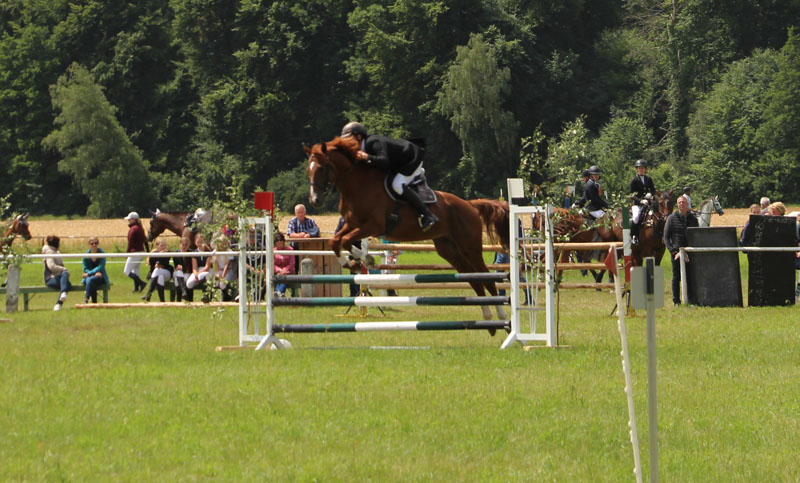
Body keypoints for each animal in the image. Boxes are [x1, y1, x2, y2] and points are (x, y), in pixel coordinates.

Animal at [304, 136, 511, 330]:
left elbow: (346, 240)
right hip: (449, 250)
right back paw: (488, 317)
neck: (358, 185)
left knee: (486, 277)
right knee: (474, 279)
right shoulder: (352, 224)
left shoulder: (374, 226)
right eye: (309, 169)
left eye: (321, 168)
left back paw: (501, 316)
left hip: (470, 247)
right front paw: (352, 263)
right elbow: (335, 241)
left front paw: (365, 259)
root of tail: (469, 204)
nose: (315, 200)